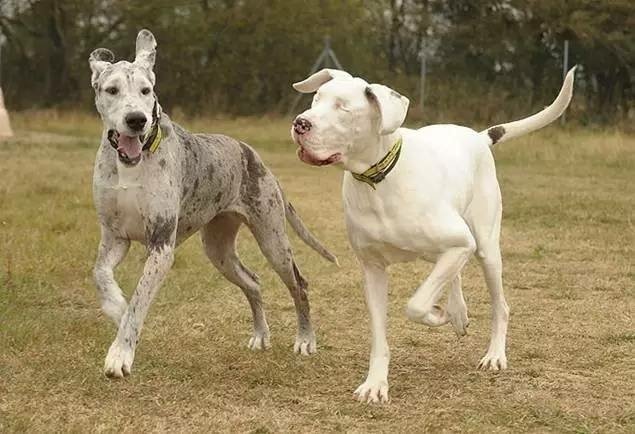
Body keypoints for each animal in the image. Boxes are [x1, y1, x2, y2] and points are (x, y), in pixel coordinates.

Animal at [90, 29, 338, 376]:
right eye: (112, 90)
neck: (130, 163)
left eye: (146, 90)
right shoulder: (114, 238)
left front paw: (120, 354)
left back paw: (305, 340)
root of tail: (255, 157)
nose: (136, 119)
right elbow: (100, 275)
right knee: (253, 282)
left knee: (299, 284)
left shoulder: (161, 246)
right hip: (218, 250)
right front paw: (115, 307)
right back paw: (261, 335)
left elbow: (139, 301)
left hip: (273, 241)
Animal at [292, 66, 576, 402]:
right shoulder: (373, 270)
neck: (378, 181)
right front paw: (375, 383)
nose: (300, 123)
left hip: (485, 248)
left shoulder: (460, 243)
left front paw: (438, 315)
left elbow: (415, 305)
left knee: (499, 304)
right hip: (442, 250)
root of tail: (478, 137)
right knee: (453, 274)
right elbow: (380, 337)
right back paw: (458, 311)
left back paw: (493, 352)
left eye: (343, 108)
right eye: (316, 99)